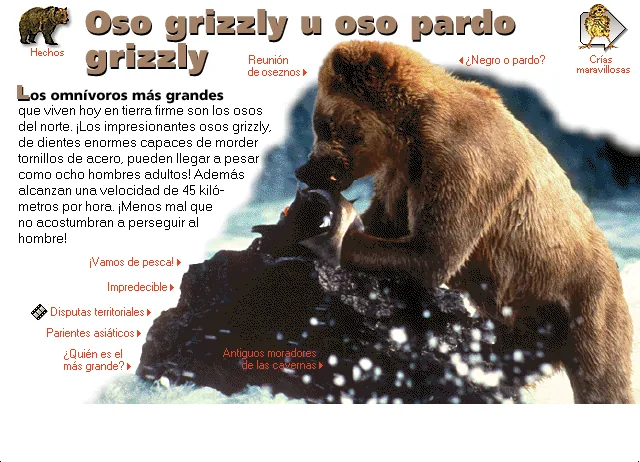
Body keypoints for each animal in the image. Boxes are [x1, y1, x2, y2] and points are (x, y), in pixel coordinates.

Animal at [295, 41, 634, 404]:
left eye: (322, 123)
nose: (305, 169)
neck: (407, 133)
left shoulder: (461, 163)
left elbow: (432, 252)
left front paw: (313, 230)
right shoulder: (401, 173)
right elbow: (387, 219)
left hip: (584, 302)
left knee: (603, 379)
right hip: (529, 320)